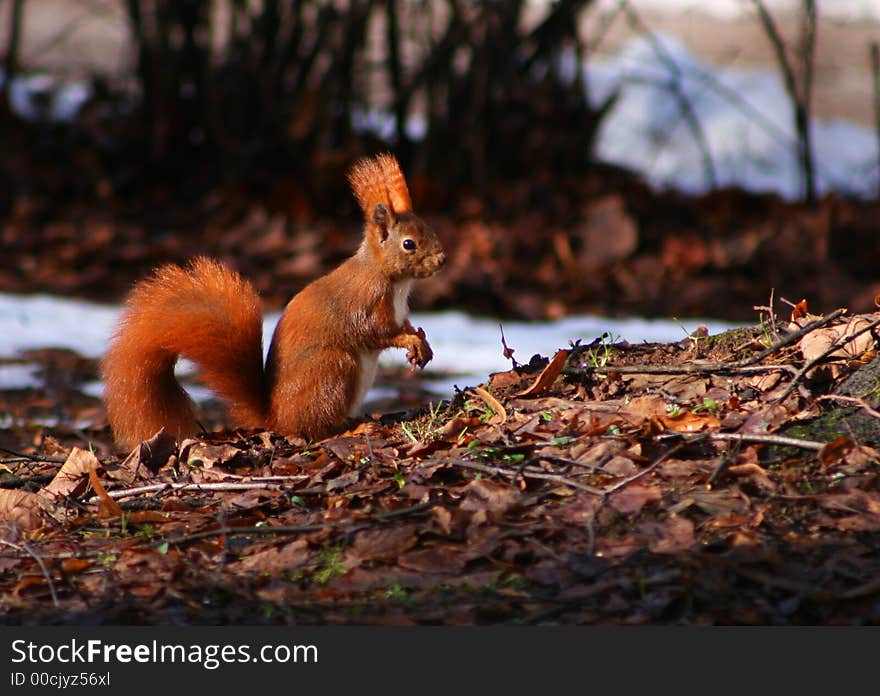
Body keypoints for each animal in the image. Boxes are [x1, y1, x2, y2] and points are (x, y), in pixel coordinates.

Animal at [101, 154, 446, 448]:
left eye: (429, 228)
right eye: (409, 244)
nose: (442, 259)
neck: (391, 280)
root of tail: (276, 419)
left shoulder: (398, 310)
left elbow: (404, 324)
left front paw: (422, 340)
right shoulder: (365, 303)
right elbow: (377, 331)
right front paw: (410, 341)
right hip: (334, 370)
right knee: (317, 430)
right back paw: (355, 428)